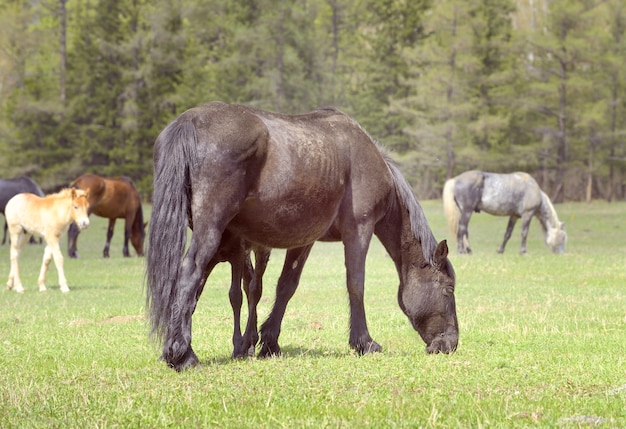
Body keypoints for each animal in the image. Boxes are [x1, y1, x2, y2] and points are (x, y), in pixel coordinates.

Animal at [147, 102, 458, 370]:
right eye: (448, 289)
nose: (451, 344)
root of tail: (189, 120)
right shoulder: (359, 230)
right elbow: (356, 284)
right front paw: (364, 342)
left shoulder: (304, 241)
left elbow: (286, 286)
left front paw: (269, 342)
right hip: (210, 231)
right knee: (190, 274)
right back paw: (184, 355)